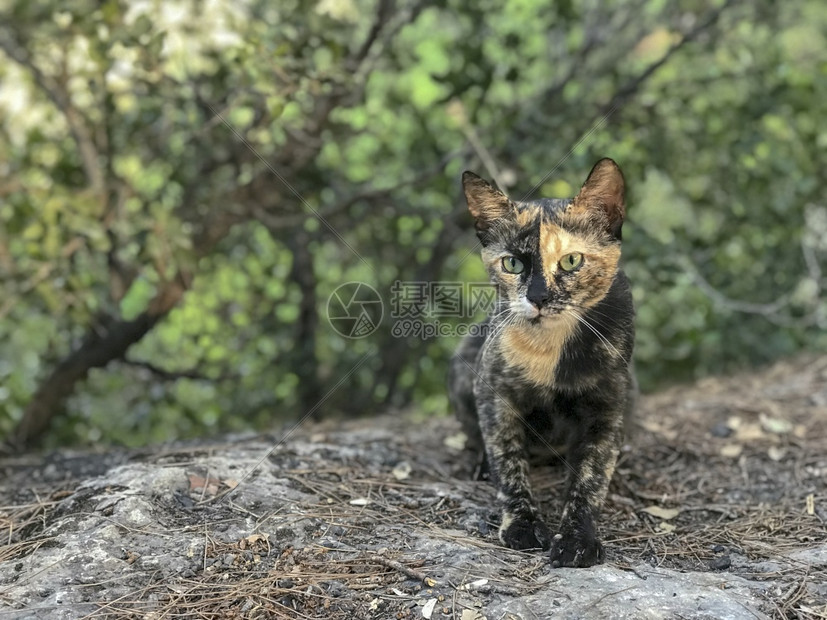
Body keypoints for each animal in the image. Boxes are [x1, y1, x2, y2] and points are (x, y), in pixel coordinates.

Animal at [446, 159, 632, 568]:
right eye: (513, 263)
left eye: (572, 260)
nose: (538, 298)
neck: (550, 350)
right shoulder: (493, 393)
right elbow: (508, 462)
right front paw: (524, 526)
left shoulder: (608, 406)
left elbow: (591, 478)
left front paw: (577, 539)